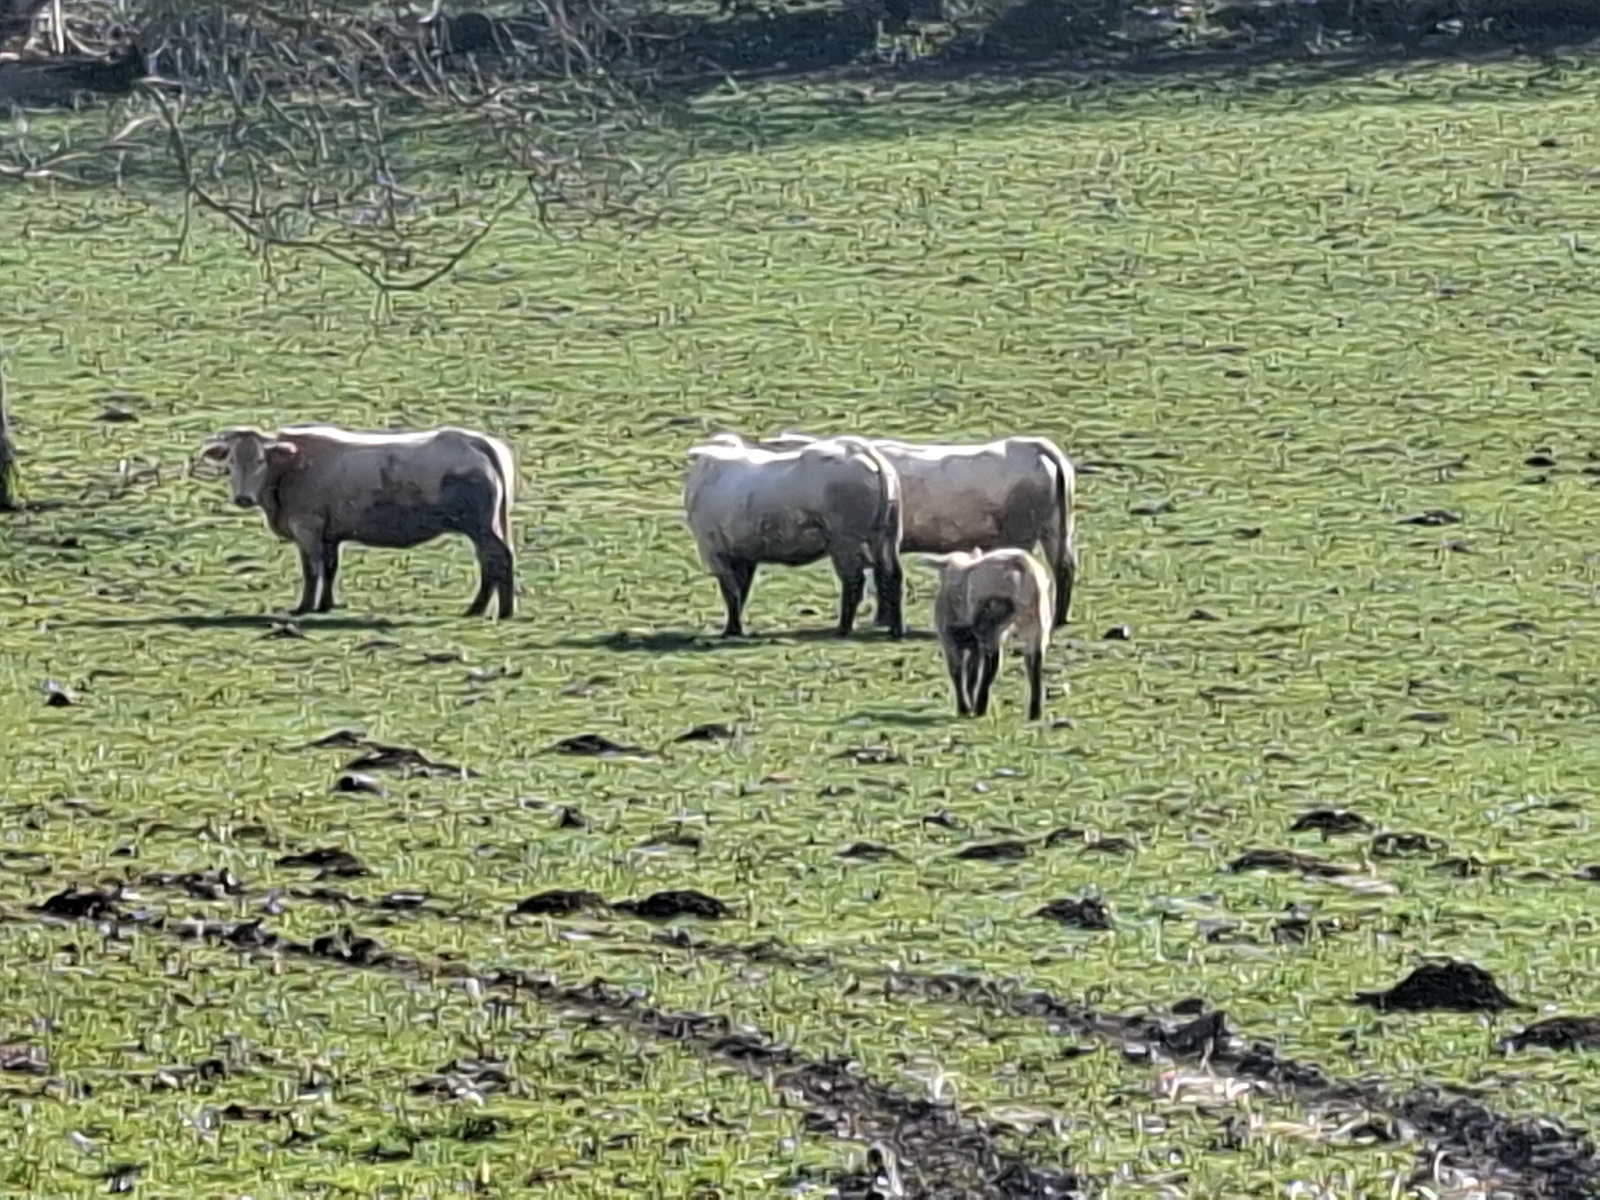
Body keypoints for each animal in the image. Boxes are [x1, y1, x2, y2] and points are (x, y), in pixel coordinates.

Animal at [198, 423, 516, 619]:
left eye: (260, 461)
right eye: (231, 462)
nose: (243, 498)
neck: (290, 469)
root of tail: (475, 439)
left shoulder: (307, 529)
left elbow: (311, 570)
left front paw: (303, 607)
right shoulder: (329, 535)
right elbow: (330, 569)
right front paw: (325, 605)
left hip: (481, 526)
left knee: (499, 558)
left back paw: (501, 611)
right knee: (489, 561)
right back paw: (481, 609)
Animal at [683, 433, 905, 639]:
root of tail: (859, 449)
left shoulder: (714, 550)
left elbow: (731, 592)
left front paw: (731, 629)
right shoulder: (743, 554)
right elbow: (741, 591)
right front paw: (735, 627)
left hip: (846, 540)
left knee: (854, 579)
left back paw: (844, 628)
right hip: (886, 535)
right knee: (891, 574)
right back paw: (896, 629)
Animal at [929, 547, 1053, 721]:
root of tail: (1023, 564)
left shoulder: (949, 639)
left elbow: (957, 673)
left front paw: (964, 708)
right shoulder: (971, 644)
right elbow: (971, 675)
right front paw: (968, 704)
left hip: (991, 620)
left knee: (991, 662)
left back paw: (980, 707)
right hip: (1036, 620)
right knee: (1034, 662)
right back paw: (1034, 713)